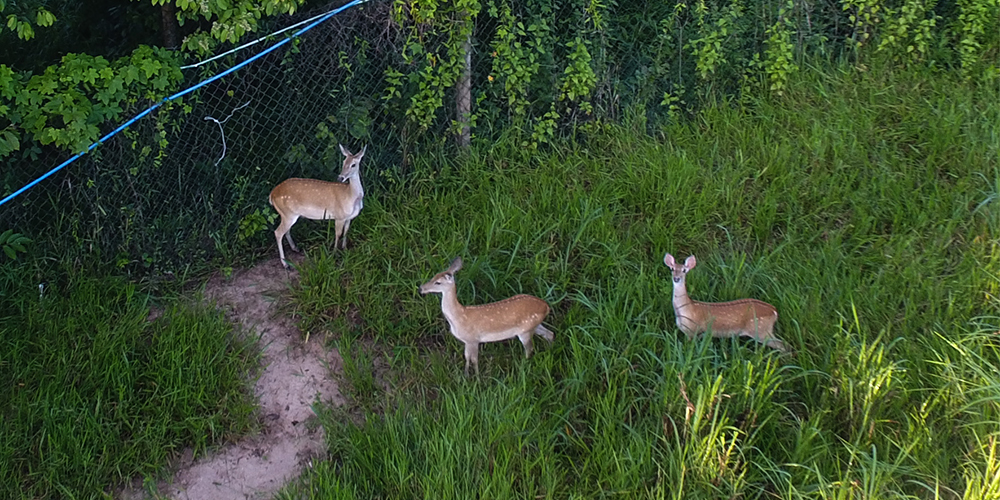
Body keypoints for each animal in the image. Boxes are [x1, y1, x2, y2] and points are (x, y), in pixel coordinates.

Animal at [416, 258, 556, 376]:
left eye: (438, 282)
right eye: (433, 276)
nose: (421, 288)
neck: (458, 316)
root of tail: (546, 306)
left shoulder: (473, 338)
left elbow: (474, 359)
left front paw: (476, 378)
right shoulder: (467, 340)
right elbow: (467, 357)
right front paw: (465, 376)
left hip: (525, 330)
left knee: (529, 348)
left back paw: (523, 366)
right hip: (534, 325)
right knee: (550, 334)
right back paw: (549, 351)